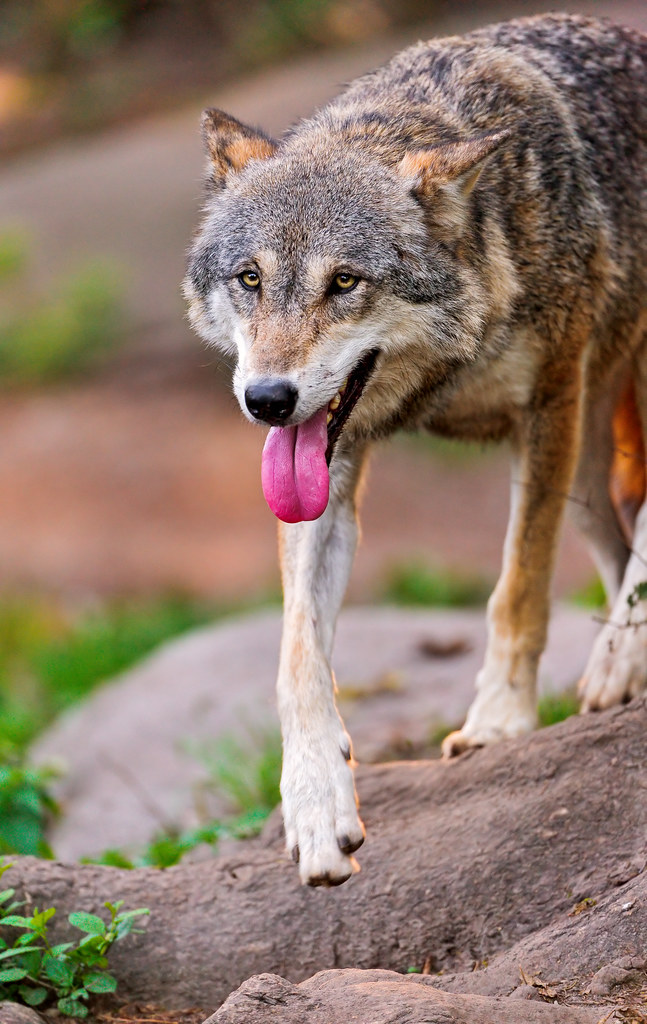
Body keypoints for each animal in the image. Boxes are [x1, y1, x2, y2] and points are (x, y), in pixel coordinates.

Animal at [184, 13, 647, 887]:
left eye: (344, 283)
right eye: (250, 279)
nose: (267, 400)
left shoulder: (548, 406)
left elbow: (516, 589)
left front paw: (499, 720)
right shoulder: (327, 469)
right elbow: (296, 658)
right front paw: (316, 807)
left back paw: (613, 662)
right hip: (587, 470)